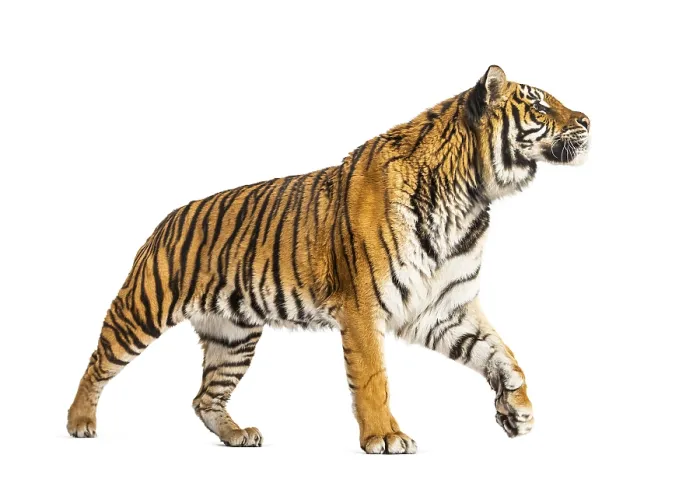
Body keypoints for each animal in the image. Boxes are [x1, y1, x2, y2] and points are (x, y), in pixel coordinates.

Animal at [67, 65, 590, 454]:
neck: (471, 199)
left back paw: (238, 435)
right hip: (142, 309)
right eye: (540, 106)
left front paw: (516, 411)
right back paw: (79, 422)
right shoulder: (362, 306)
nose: (587, 119)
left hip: (234, 336)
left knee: (203, 397)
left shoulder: (443, 308)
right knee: (97, 362)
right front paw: (385, 437)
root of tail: (169, 217)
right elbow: (373, 377)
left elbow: (503, 355)